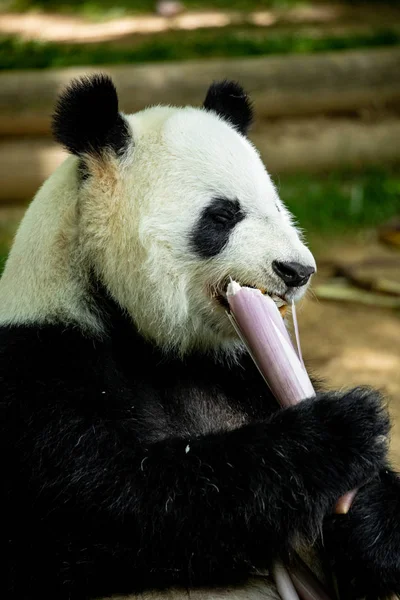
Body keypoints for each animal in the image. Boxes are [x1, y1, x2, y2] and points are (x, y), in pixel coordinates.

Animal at [0, 75, 400, 600]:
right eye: (223, 216)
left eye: (276, 206)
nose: (298, 271)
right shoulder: (40, 369)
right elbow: (114, 505)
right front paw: (338, 432)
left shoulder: (238, 370)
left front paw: (367, 507)